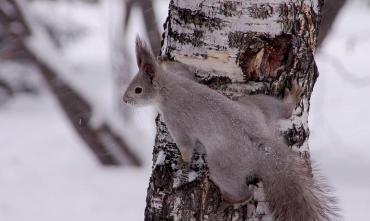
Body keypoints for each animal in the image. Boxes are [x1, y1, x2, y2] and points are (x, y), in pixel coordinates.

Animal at [123, 38, 338, 221]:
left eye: (138, 90)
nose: (124, 100)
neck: (168, 88)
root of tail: (263, 144)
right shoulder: (184, 77)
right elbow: (184, 70)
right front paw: (164, 60)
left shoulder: (176, 120)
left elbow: (185, 145)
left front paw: (182, 161)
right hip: (256, 106)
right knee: (282, 111)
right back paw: (291, 98)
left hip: (222, 166)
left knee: (244, 192)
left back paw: (229, 200)